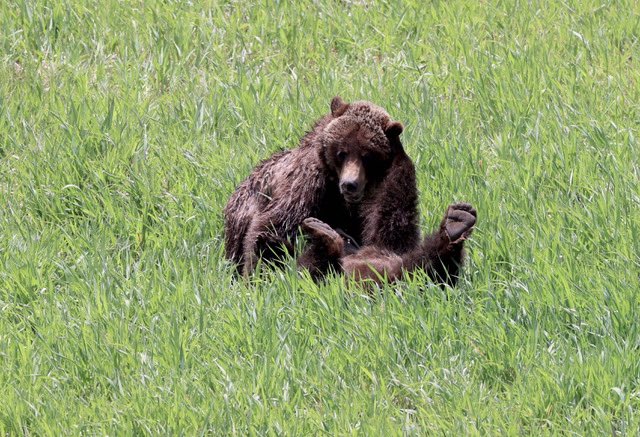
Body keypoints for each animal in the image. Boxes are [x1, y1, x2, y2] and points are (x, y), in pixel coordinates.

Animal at [224, 96, 419, 277]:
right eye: (342, 153)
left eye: (367, 156)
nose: (349, 184)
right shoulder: (307, 182)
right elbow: (274, 224)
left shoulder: (386, 186)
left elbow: (387, 237)